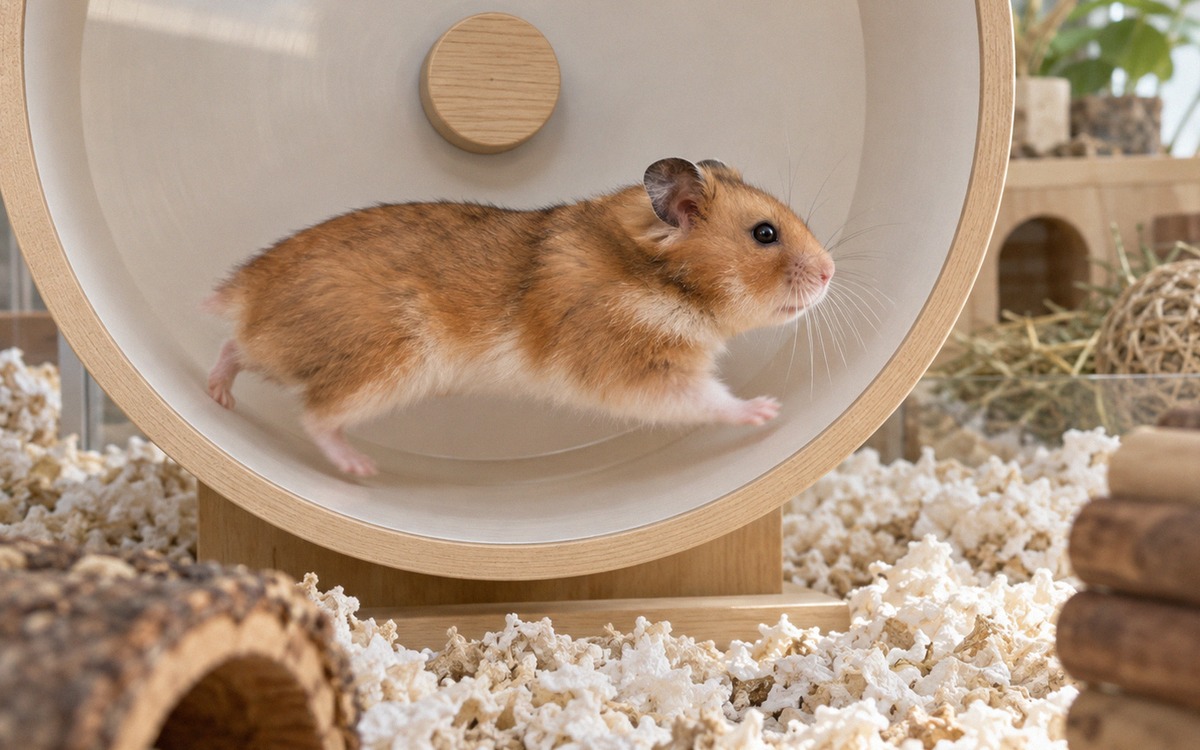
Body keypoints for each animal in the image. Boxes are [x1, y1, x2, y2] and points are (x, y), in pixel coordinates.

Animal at [205, 158, 835, 476]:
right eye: (764, 234)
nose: (831, 272)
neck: (659, 278)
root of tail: (243, 291)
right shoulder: (638, 369)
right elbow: (708, 399)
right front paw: (767, 410)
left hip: (290, 350)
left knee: (236, 349)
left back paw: (220, 398)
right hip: (383, 364)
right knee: (314, 415)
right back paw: (360, 467)